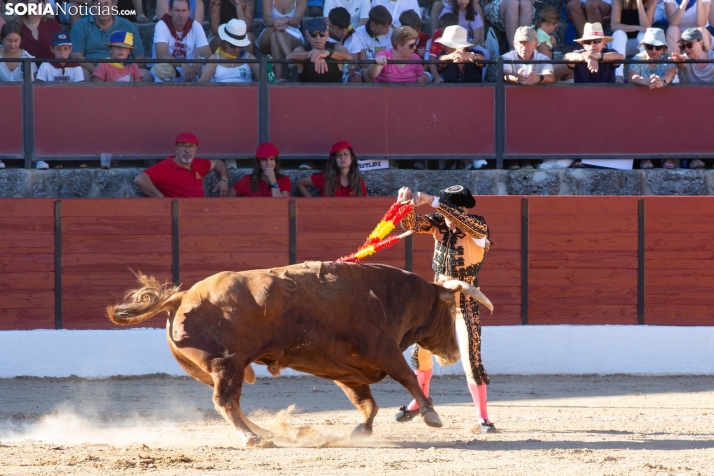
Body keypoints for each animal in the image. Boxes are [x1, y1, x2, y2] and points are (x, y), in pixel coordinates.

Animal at [108, 260, 492, 446]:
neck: (393, 295)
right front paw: (432, 415)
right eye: (450, 311)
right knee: (225, 401)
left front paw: (361, 430)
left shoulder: (346, 370)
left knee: (232, 402)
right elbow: (408, 378)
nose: (454, 352)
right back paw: (253, 439)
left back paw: (263, 432)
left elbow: (367, 402)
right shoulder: (383, 351)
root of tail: (181, 297)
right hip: (226, 364)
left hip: (226, 368)